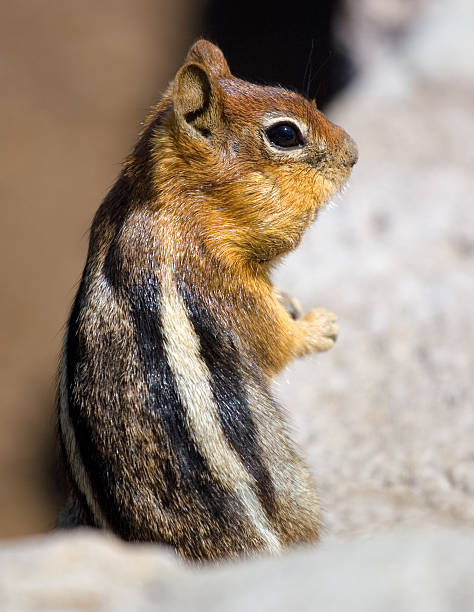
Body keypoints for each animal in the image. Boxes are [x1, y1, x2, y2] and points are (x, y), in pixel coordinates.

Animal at [57, 40, 358, 560]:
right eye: (285, 133)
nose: (354, 152)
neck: (171, 206)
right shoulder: (224, 286)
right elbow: (276, 343)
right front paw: (318, 326)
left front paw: (291, 299)